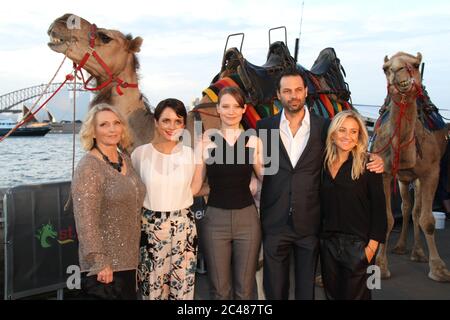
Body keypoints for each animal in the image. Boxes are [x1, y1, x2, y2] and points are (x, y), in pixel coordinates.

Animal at [372, 51, 450, 282]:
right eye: (385, 68)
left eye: (415, 65)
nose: (397, 72)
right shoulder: (386, 173)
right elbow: (388, 218)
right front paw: (381, 266)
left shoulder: (432, 172)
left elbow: (428, 221)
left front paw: (438, 268)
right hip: (403, 179)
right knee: (407, 207)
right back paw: (400, 247)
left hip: (416, 177)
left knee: (415, 211)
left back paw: (418, 252)